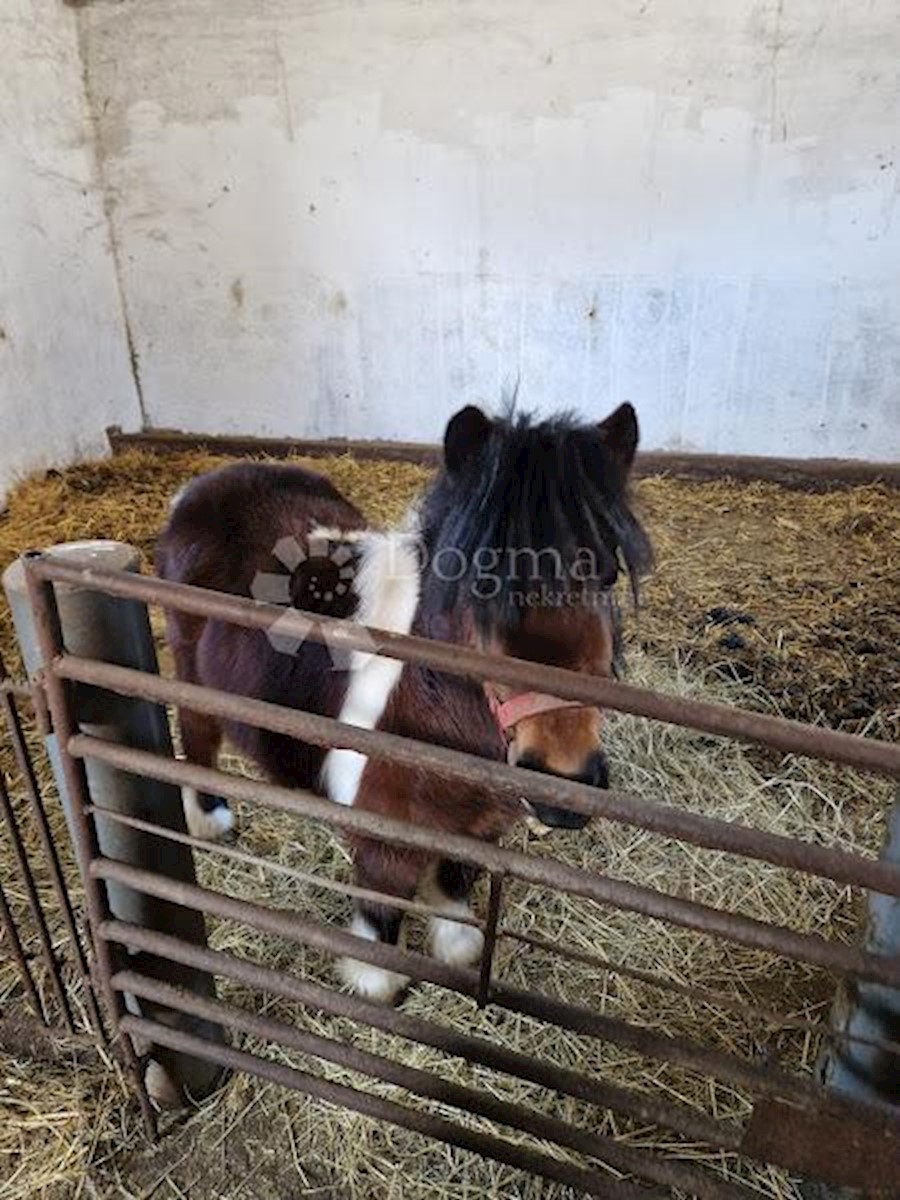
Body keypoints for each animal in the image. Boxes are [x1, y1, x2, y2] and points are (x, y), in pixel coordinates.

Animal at [153, 403, 648, 1003]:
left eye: (609, 573)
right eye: (483, 584)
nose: (565, 784)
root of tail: (202, 485)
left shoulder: (478, 829)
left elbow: (453, 895)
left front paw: (455, 947)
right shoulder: (383, 843)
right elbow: (382, 918)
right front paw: (377, 984)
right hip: (191, 674)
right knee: (199, 738)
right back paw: (210, 822)